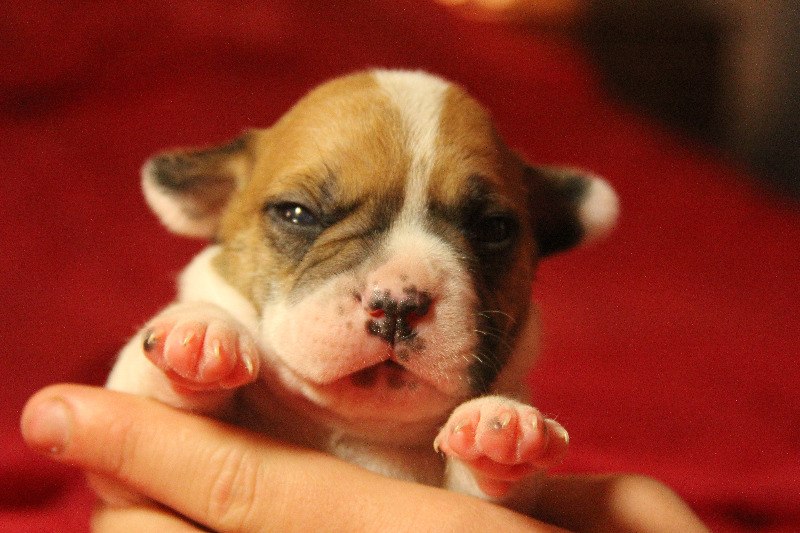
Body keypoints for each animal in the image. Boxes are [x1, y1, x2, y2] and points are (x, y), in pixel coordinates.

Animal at [107, 69, 618, 510]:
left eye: (493, 229)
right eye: (297, 213)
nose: (397, 304)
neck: (356, 429)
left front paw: (502, 427)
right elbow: (152, 389)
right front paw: (196, 335)